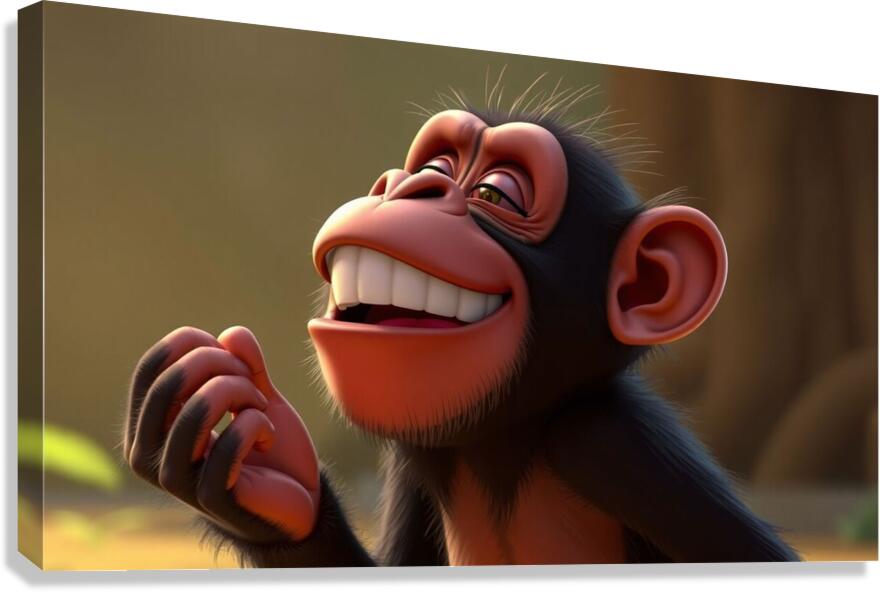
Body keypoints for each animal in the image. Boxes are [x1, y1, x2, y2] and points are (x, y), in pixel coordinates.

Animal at [123, 95, 800, 566]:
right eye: (432, 167)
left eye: (495, 194)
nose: (406, 187)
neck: (500, 437)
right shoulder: (413, 455)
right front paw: (273, 478)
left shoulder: (617, 445)